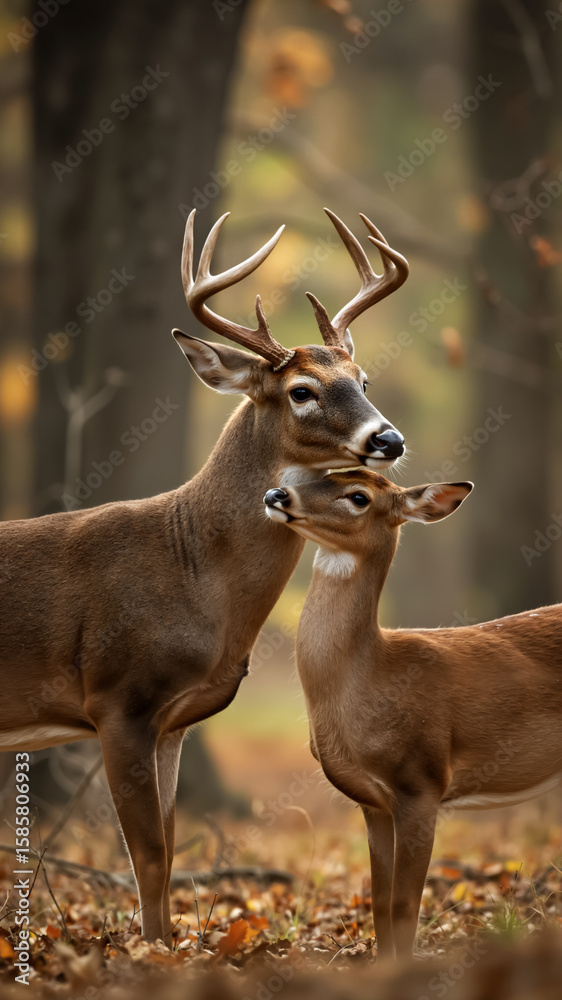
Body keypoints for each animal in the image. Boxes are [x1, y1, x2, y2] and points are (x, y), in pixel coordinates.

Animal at [0, 209, 410, 944]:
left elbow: (164, 850)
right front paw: (152, 952)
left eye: (362, 379)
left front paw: (166, 944)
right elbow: (146, 852)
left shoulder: (173, 722)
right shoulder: (116, 699)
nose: (388, 439)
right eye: (301, 391)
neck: (192, 575)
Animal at [263, 471, 562, 959]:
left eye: (359, 497)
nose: (276, 494)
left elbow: (405, 906)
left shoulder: (422, 782)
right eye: (323, 473)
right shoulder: (372, 804)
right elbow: (379, 903)